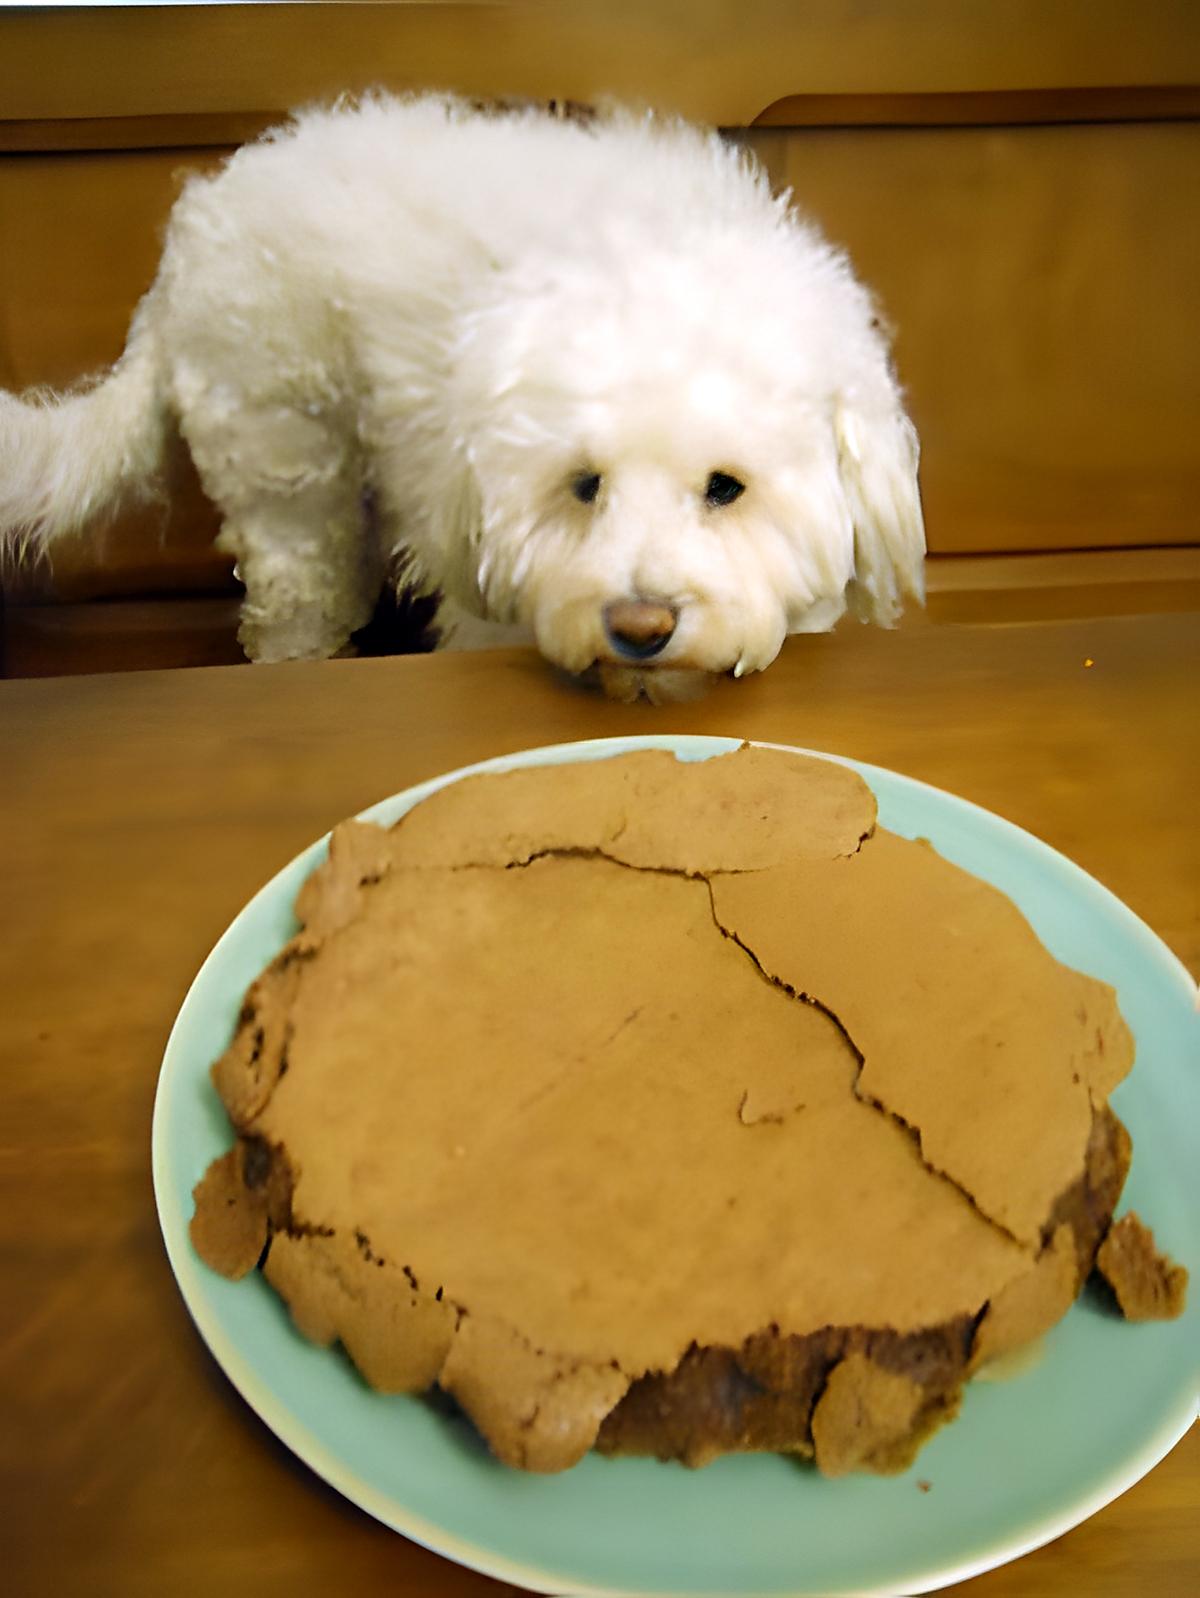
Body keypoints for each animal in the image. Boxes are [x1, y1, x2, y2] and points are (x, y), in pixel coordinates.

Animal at [0, 91, 926, 699]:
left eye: (726, 488)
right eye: (584, 485)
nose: (640, 626)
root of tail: (197, 221)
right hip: (284, 458)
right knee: (292, 598)